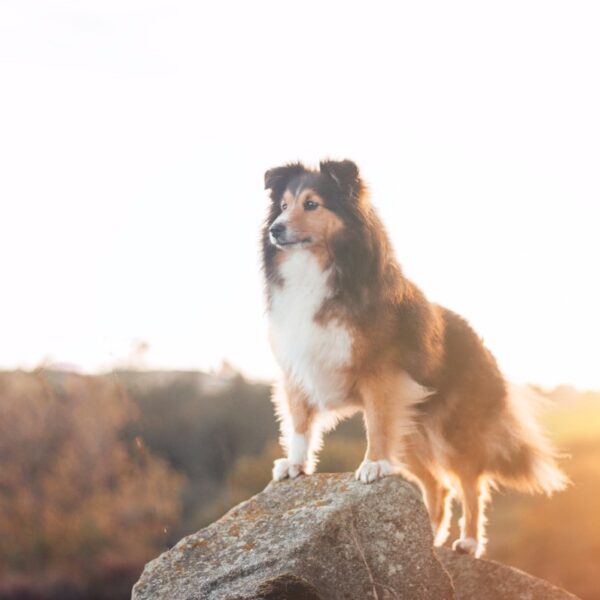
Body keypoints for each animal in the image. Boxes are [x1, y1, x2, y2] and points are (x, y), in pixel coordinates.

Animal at [262, 159, 568, 556]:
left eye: (312, 204)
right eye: (283, 205)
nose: (275, 229)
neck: (319, 269)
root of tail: (482, 345)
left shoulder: (380, 375)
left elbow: (376, 426)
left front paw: (373, 465)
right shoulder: (297, 368)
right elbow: (300, 423)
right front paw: (295, 465)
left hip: (452, 429)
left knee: (471, 483)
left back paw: (468, 542)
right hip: (410, 429)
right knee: (438, 485)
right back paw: (431, 541)